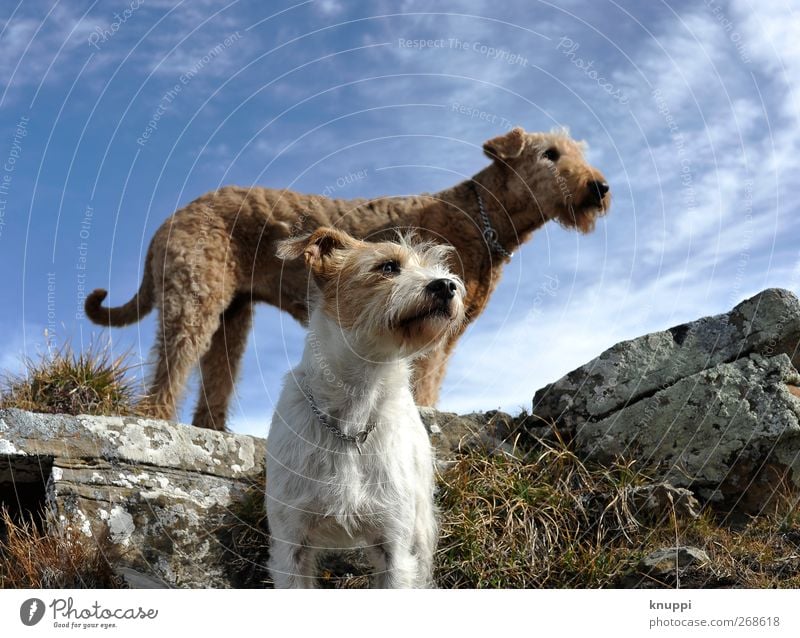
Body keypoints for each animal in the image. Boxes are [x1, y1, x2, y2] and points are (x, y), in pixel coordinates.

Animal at [84, 127, 608, 432]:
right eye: (549, 154)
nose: (599, 187)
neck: (480, 217)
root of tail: (170, 219)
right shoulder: (430, 328)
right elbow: (422, 386)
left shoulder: (448, 332)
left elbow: (431, 384)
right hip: (195, 298)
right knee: (169, 369)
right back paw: (154, 419)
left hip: (233, 318)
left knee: (212, 384)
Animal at [266, 229, 466, 592]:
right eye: (388, 266)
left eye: (437, 267)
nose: (446, 285)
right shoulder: (291, 547)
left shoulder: (394, 548)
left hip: (419, 527)